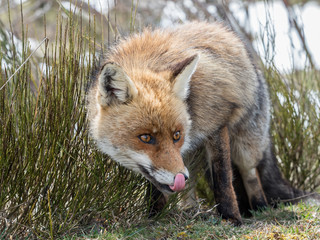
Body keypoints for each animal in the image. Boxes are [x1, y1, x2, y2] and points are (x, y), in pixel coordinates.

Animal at [87, 21, 318, 225]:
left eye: (176, 135)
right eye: (146, 137)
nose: (179, 177)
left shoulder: (217, 124)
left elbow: (223, 179)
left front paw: (231, 218)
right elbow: (157, 189)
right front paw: (153, 217)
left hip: (245, 146)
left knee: (251, 175)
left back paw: (259, 208)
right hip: (191, 155)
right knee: (192, 184)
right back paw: (190, 210)